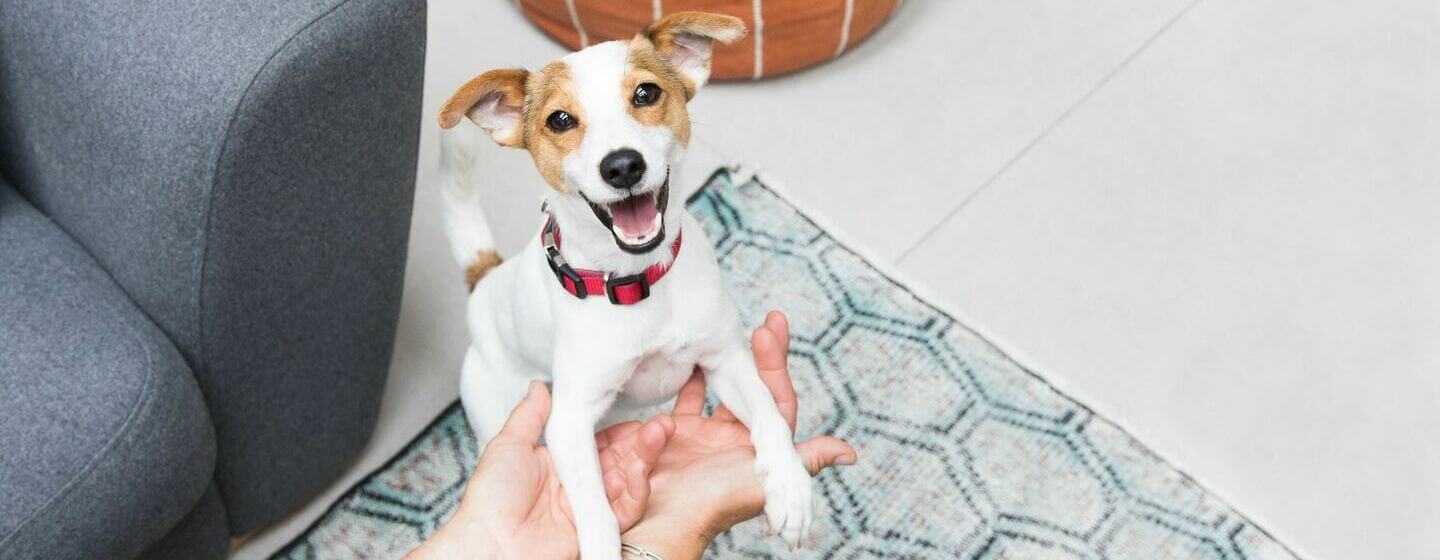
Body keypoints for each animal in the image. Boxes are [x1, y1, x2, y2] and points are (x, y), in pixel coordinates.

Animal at [432, 10, 817, 555]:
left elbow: (767, 411)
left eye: (646, 93)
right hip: (498, 412)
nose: (622, 166)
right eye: (560, 120)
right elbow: (595, 512)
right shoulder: (568, 424)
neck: (637, 281)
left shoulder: (726, 359)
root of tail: (484, 278)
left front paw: (790, 489)